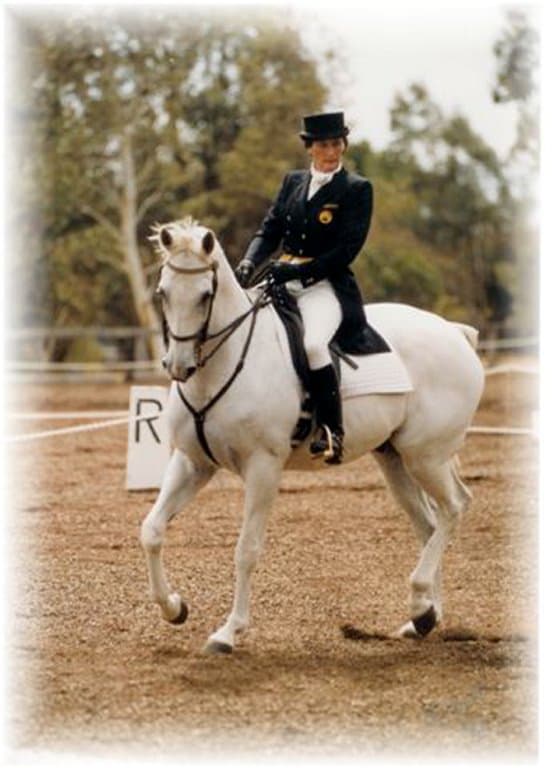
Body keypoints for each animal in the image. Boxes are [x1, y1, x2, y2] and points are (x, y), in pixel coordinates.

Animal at [140, 216, 485, 654]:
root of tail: (455, 333)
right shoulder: (193, 462)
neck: (219, 368)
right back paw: (423, 618)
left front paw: (228, 632)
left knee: (454, 507)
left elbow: (246, 550)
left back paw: (420, 600)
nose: (178, 366)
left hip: (426, 455)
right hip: (395, 458)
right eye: (162, 292)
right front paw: (174, 608)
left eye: (205, 296)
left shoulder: (263, 467)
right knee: (428, 523)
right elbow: (152, 530)